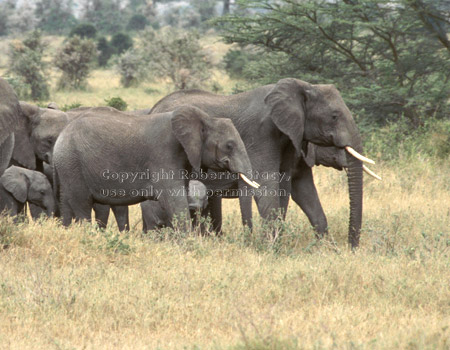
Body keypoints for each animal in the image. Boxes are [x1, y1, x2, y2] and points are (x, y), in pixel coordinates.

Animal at [52, 105, 256, 228]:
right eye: (229, 146)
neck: (205, 118)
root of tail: (62, 135)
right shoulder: (163, 155)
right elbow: (174, 200)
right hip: (72, 162)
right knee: (82, 205)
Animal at [151, 78, 376, 247]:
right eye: (334, 116)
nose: (351, 248)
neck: (302, 86)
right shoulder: (261, 134)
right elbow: (268, 185)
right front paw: (272, 249)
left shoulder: (292, 139)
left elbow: (298, 189)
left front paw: (325, 249)